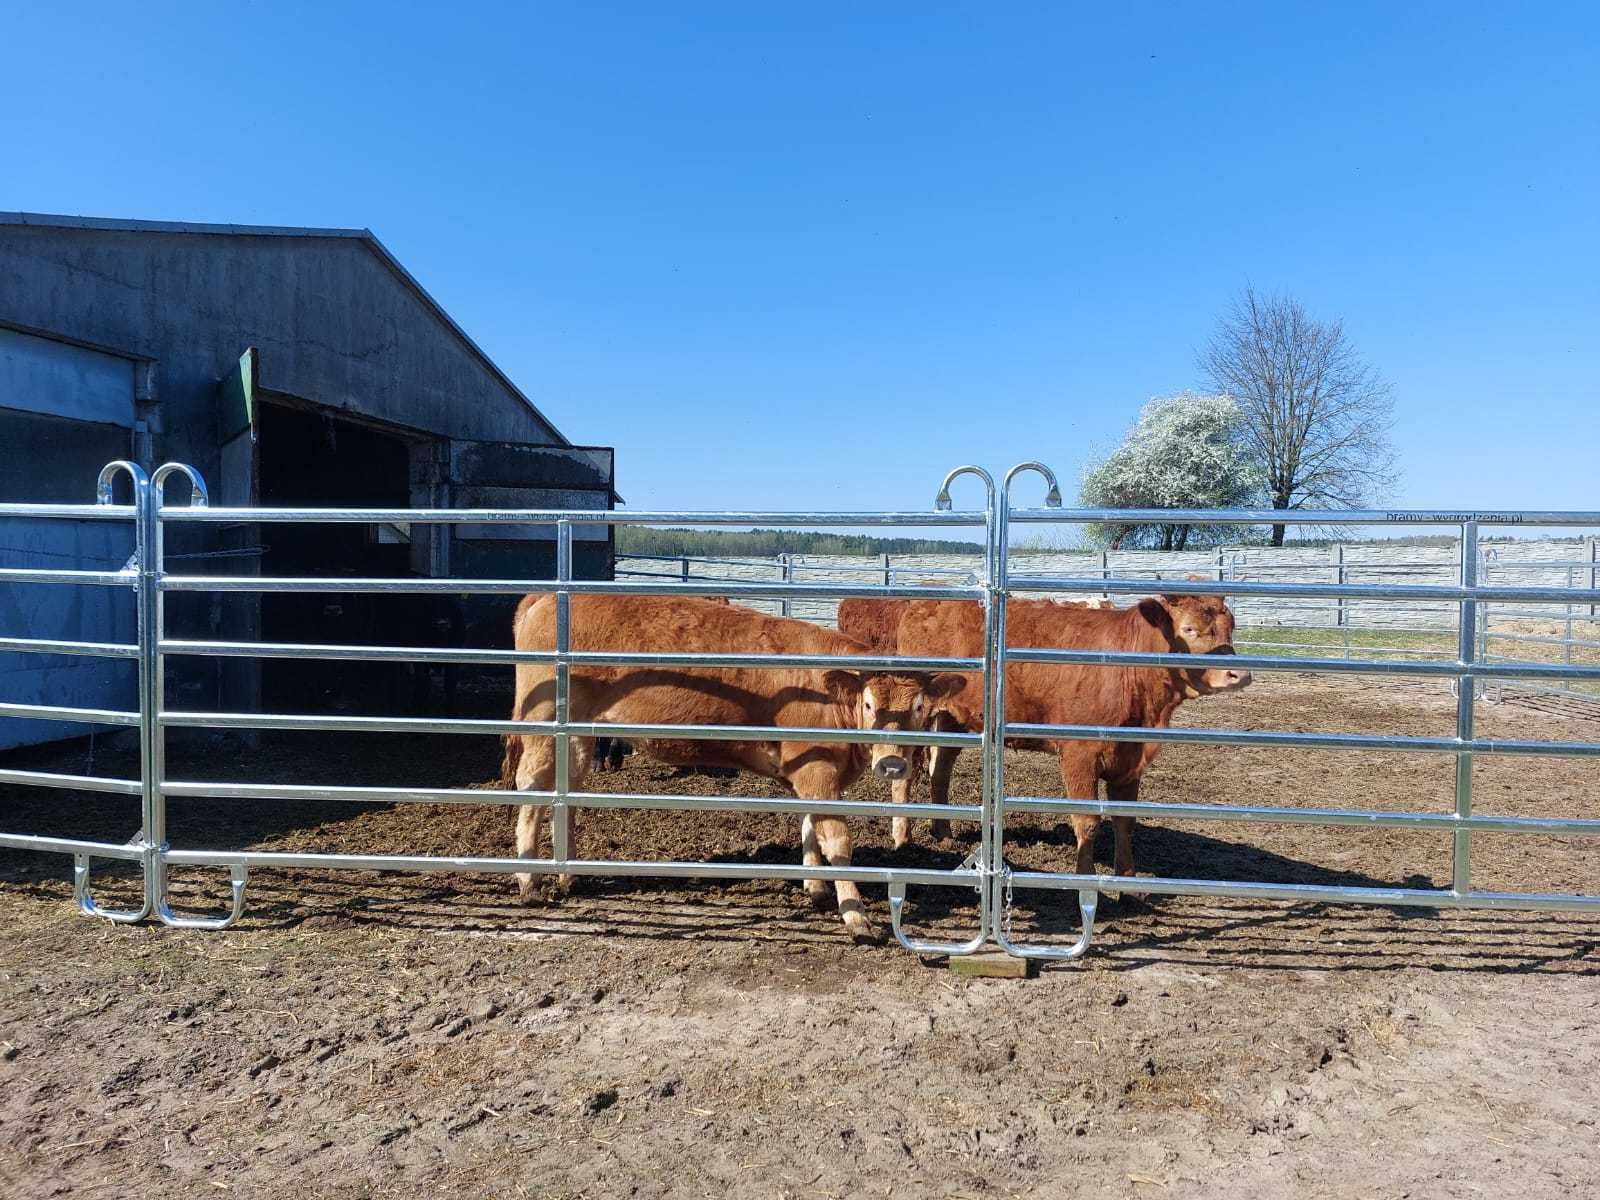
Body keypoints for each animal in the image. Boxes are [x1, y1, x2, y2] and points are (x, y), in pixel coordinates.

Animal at [512, 598, 960, 947]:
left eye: (918, 706)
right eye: (869, 705)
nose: (892, 763)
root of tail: (544, 599)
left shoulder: (808, 777)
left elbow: (809, 827)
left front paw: (814, 888)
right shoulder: (817, 772)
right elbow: (838, 842)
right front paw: (856, 917)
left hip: (576, 736)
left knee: (568, 790)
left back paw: (567, 874)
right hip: (543, 725)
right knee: (531, 788)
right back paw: (528, 880)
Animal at [864, 592, 1248, 883]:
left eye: (1231, 627)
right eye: (1189, 629)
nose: (1238, 673)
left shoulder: (1129, 759)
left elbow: (1125, 822)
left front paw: (1128, 886)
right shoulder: (1080, 754)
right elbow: (1087, 822)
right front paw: (1085, 880)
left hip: (953, 717)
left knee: (939, 769)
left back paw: (942, 834)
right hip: (917, 714)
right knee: (905, 774)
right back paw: (902, 838)